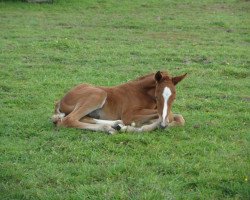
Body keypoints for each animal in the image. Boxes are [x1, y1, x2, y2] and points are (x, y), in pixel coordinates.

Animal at [52, 70, 186, 134]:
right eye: (157, 97)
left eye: (174, 98)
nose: (163, 126)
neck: (142, 92)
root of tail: (60, 100)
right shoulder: (129, 115)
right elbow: (168, 116)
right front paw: (135, 128)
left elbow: (178, 118)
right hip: (99, 94)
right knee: (68, 120)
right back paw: (109, 128)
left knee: (82, 118)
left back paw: (116, 124)